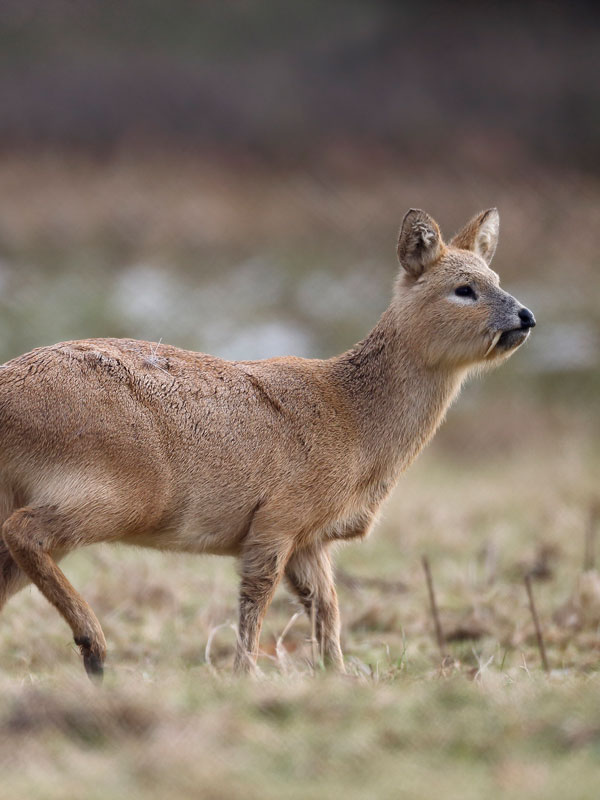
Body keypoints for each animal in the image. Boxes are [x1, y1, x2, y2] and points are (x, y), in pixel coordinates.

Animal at [0, 206, 536, 676]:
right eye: (463, 289)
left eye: (497, 278)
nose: (526, 316)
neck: (354, 422)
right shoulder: (278, 517)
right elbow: (258, 597)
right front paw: (246, 675)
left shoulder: (310, 538)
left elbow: (326, 606)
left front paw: (337, 676)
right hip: (120, 488)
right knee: (23, 531)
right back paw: (95, 647)